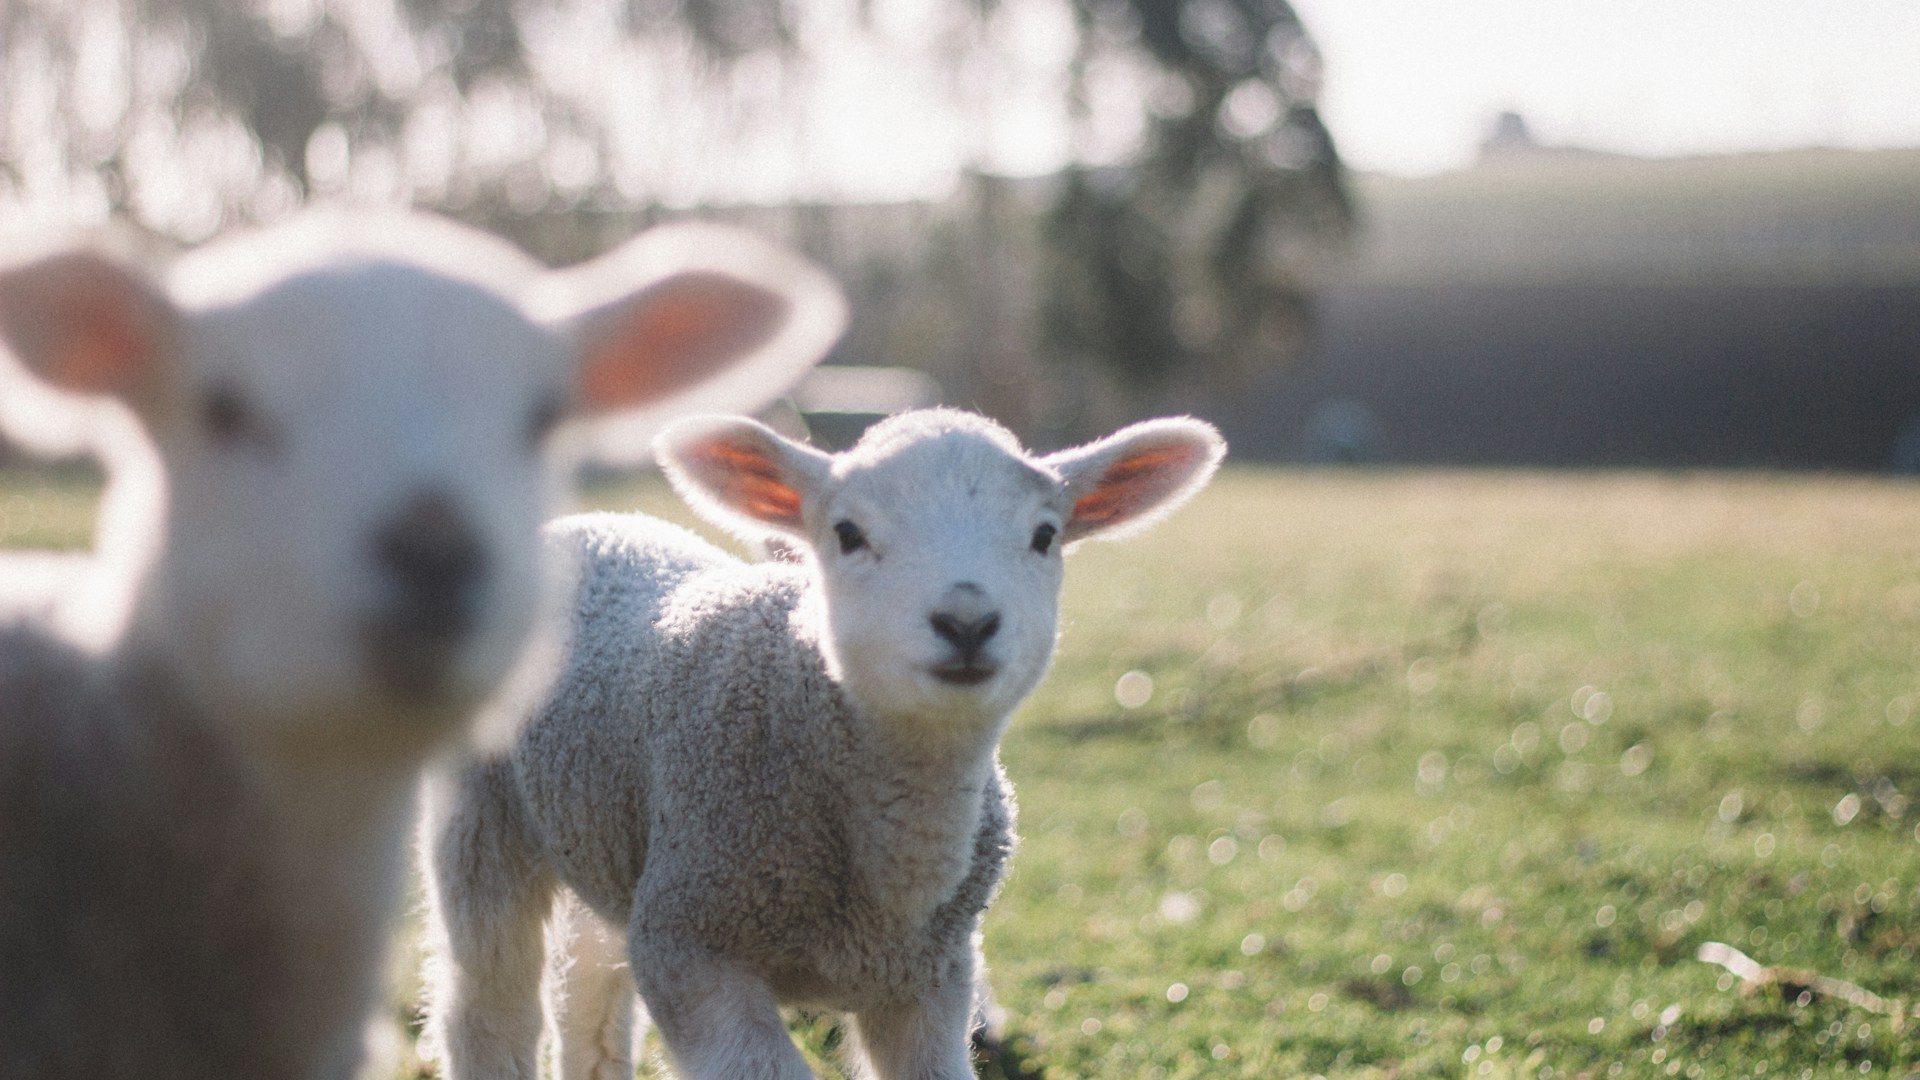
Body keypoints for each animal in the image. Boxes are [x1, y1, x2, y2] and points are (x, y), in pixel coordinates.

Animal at [426, 405, 1221, 1076]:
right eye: (848, 533)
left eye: (1044, 536)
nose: (966, 621)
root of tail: (591, 522)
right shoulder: (691, 945)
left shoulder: (932, 980)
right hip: (482, 821)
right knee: (487, 1002)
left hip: (611, 839)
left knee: (589, 990)